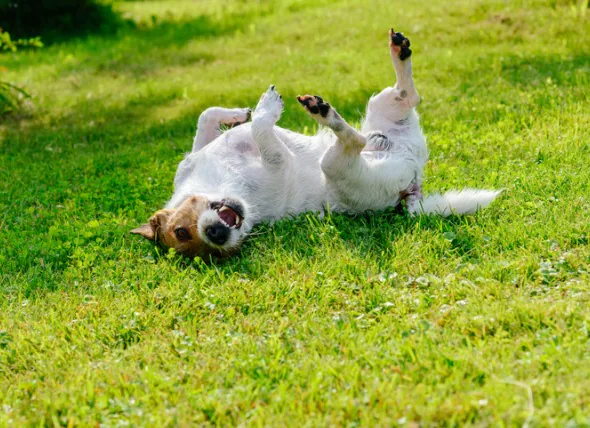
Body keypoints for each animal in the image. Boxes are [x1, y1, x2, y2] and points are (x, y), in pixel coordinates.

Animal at [132, 28, 502, 260]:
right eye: (191, 241)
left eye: (181, 231)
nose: (217, 236)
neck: (220, 184)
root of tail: (413, 187)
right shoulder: (277, 162)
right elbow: (263, 130)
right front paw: (264, 110)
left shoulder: (195, 156)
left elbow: (206, 117)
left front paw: (238, 115)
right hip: (338, 165)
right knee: (354, 140)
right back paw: (324, 113)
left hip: (382, 105)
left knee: (407, 94)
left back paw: (398, 50)